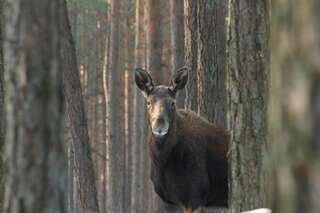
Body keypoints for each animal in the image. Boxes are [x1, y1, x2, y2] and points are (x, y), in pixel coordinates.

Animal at [134, 67, 229, 213]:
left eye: (172, 102)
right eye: (148, 102)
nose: (159, 126)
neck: (162, 161)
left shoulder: (195, 196)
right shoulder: (169, 201)